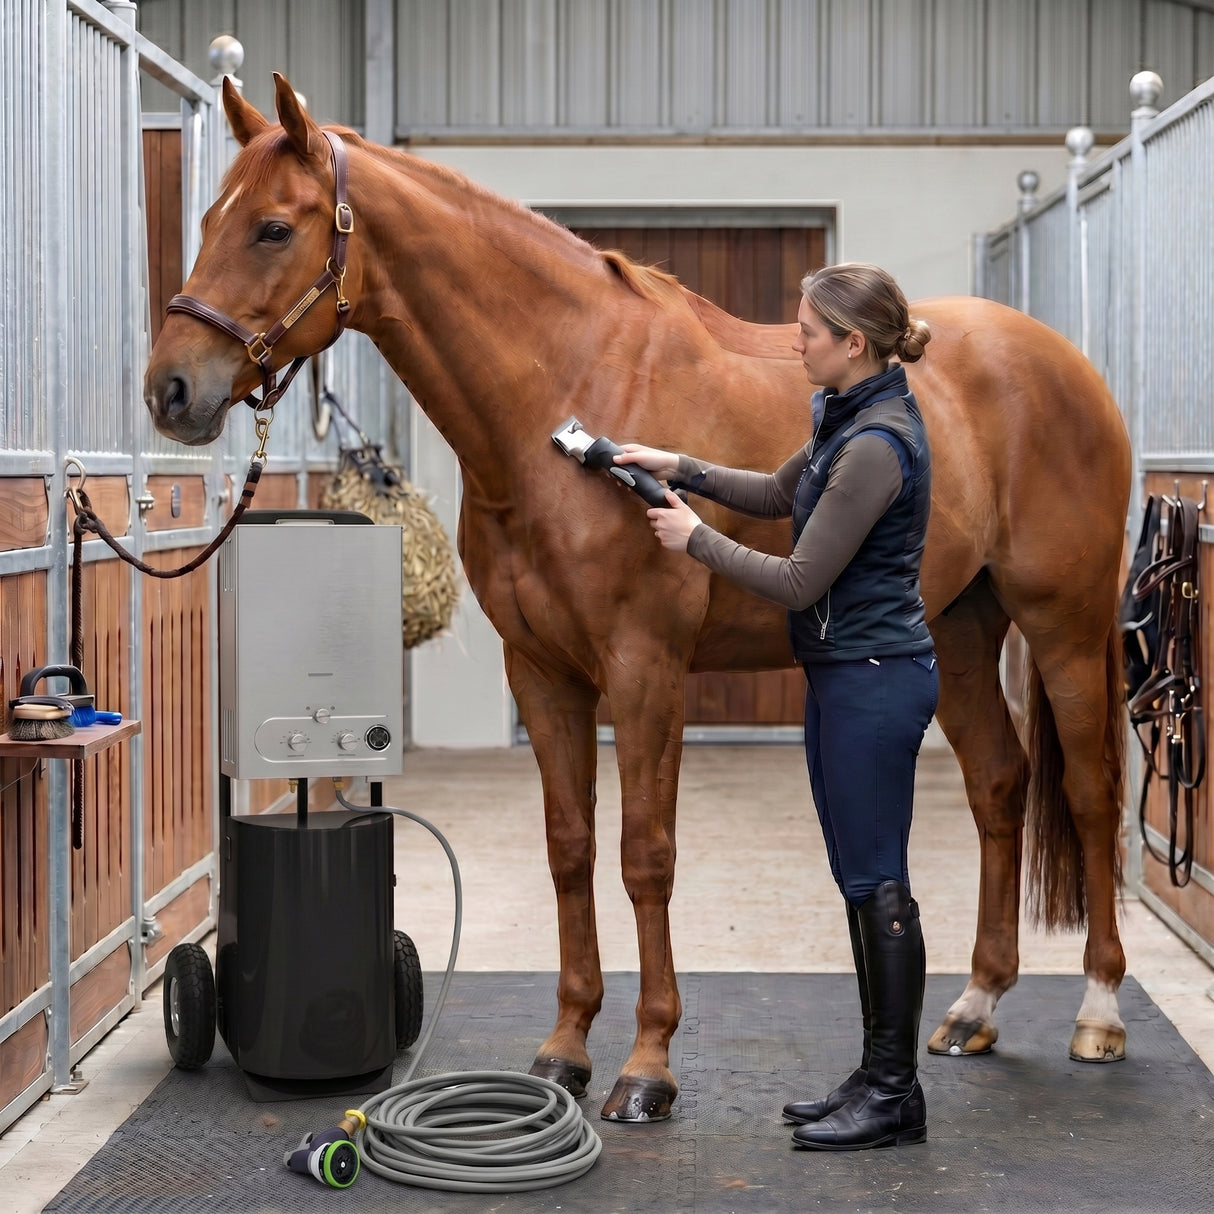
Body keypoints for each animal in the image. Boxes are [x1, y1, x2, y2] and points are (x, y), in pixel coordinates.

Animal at [144, 75, 1131, 1123]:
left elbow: (644, 852)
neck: (565, 389)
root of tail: (1067, 366)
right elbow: (571, 849)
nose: (170, 391)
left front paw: (648, 1065)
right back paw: (976, 1006)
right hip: (958, 629)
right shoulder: (542, 672)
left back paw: (1099, 1012)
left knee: (1090, 793)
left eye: (273, 228)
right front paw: (566, 1048)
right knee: (998, 786)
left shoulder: (645, 668)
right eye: (209, 220)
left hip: (1062, 626)